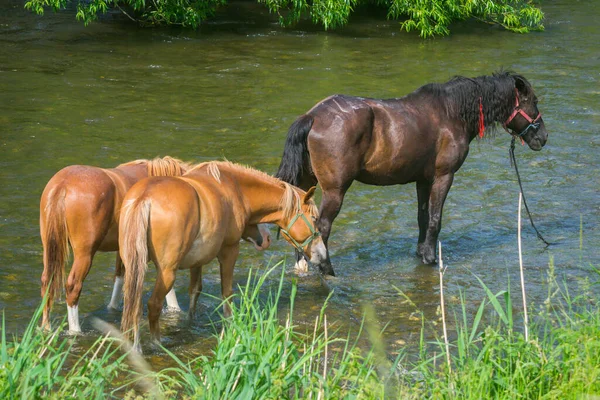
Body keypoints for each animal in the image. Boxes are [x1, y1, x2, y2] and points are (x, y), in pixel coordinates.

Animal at [39, 156, 191, 332]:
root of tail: (63, 184)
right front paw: (175, 311)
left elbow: (120, 276)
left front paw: (112, 308)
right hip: (84, 254)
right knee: (73, 287)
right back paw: (75, 331)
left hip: (49, 248)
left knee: (47, 282)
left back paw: (45, 328)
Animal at [117, 160, 324, 350]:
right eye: (314, 218)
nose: (322, 254)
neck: (234, 189)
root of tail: (144, 198)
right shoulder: (229, 250)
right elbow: (227, 292)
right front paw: (230, 324)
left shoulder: (197, 261)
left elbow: (195, 291)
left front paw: (190, 322)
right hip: (167, 273)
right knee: (153, 305)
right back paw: (156, 344)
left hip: (135, 267)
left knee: (133, 305)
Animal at [276, 71, 548, 276]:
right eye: (533, 101)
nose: (543, 137)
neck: (451, 113)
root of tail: (312, 116)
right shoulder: (443, 176)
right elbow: (436, 219)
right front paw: (431, 258)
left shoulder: (423, 180)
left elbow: (423, 217)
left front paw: (421, 252)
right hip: (335, 190)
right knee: (321, 226)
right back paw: (326, 269)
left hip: (307, 185)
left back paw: (302, 264)